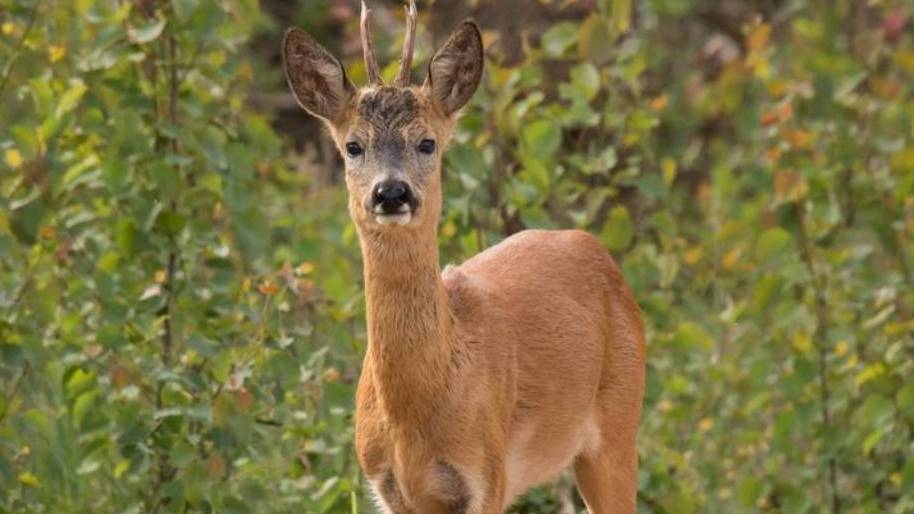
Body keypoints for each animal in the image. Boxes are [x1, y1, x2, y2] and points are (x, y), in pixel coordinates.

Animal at [282, 2, 644, 510]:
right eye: (353, 146)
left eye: (427, 143)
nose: (391, 192)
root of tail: (593, 248)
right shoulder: (387, 488)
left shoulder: (486, 476)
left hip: (619, 422)